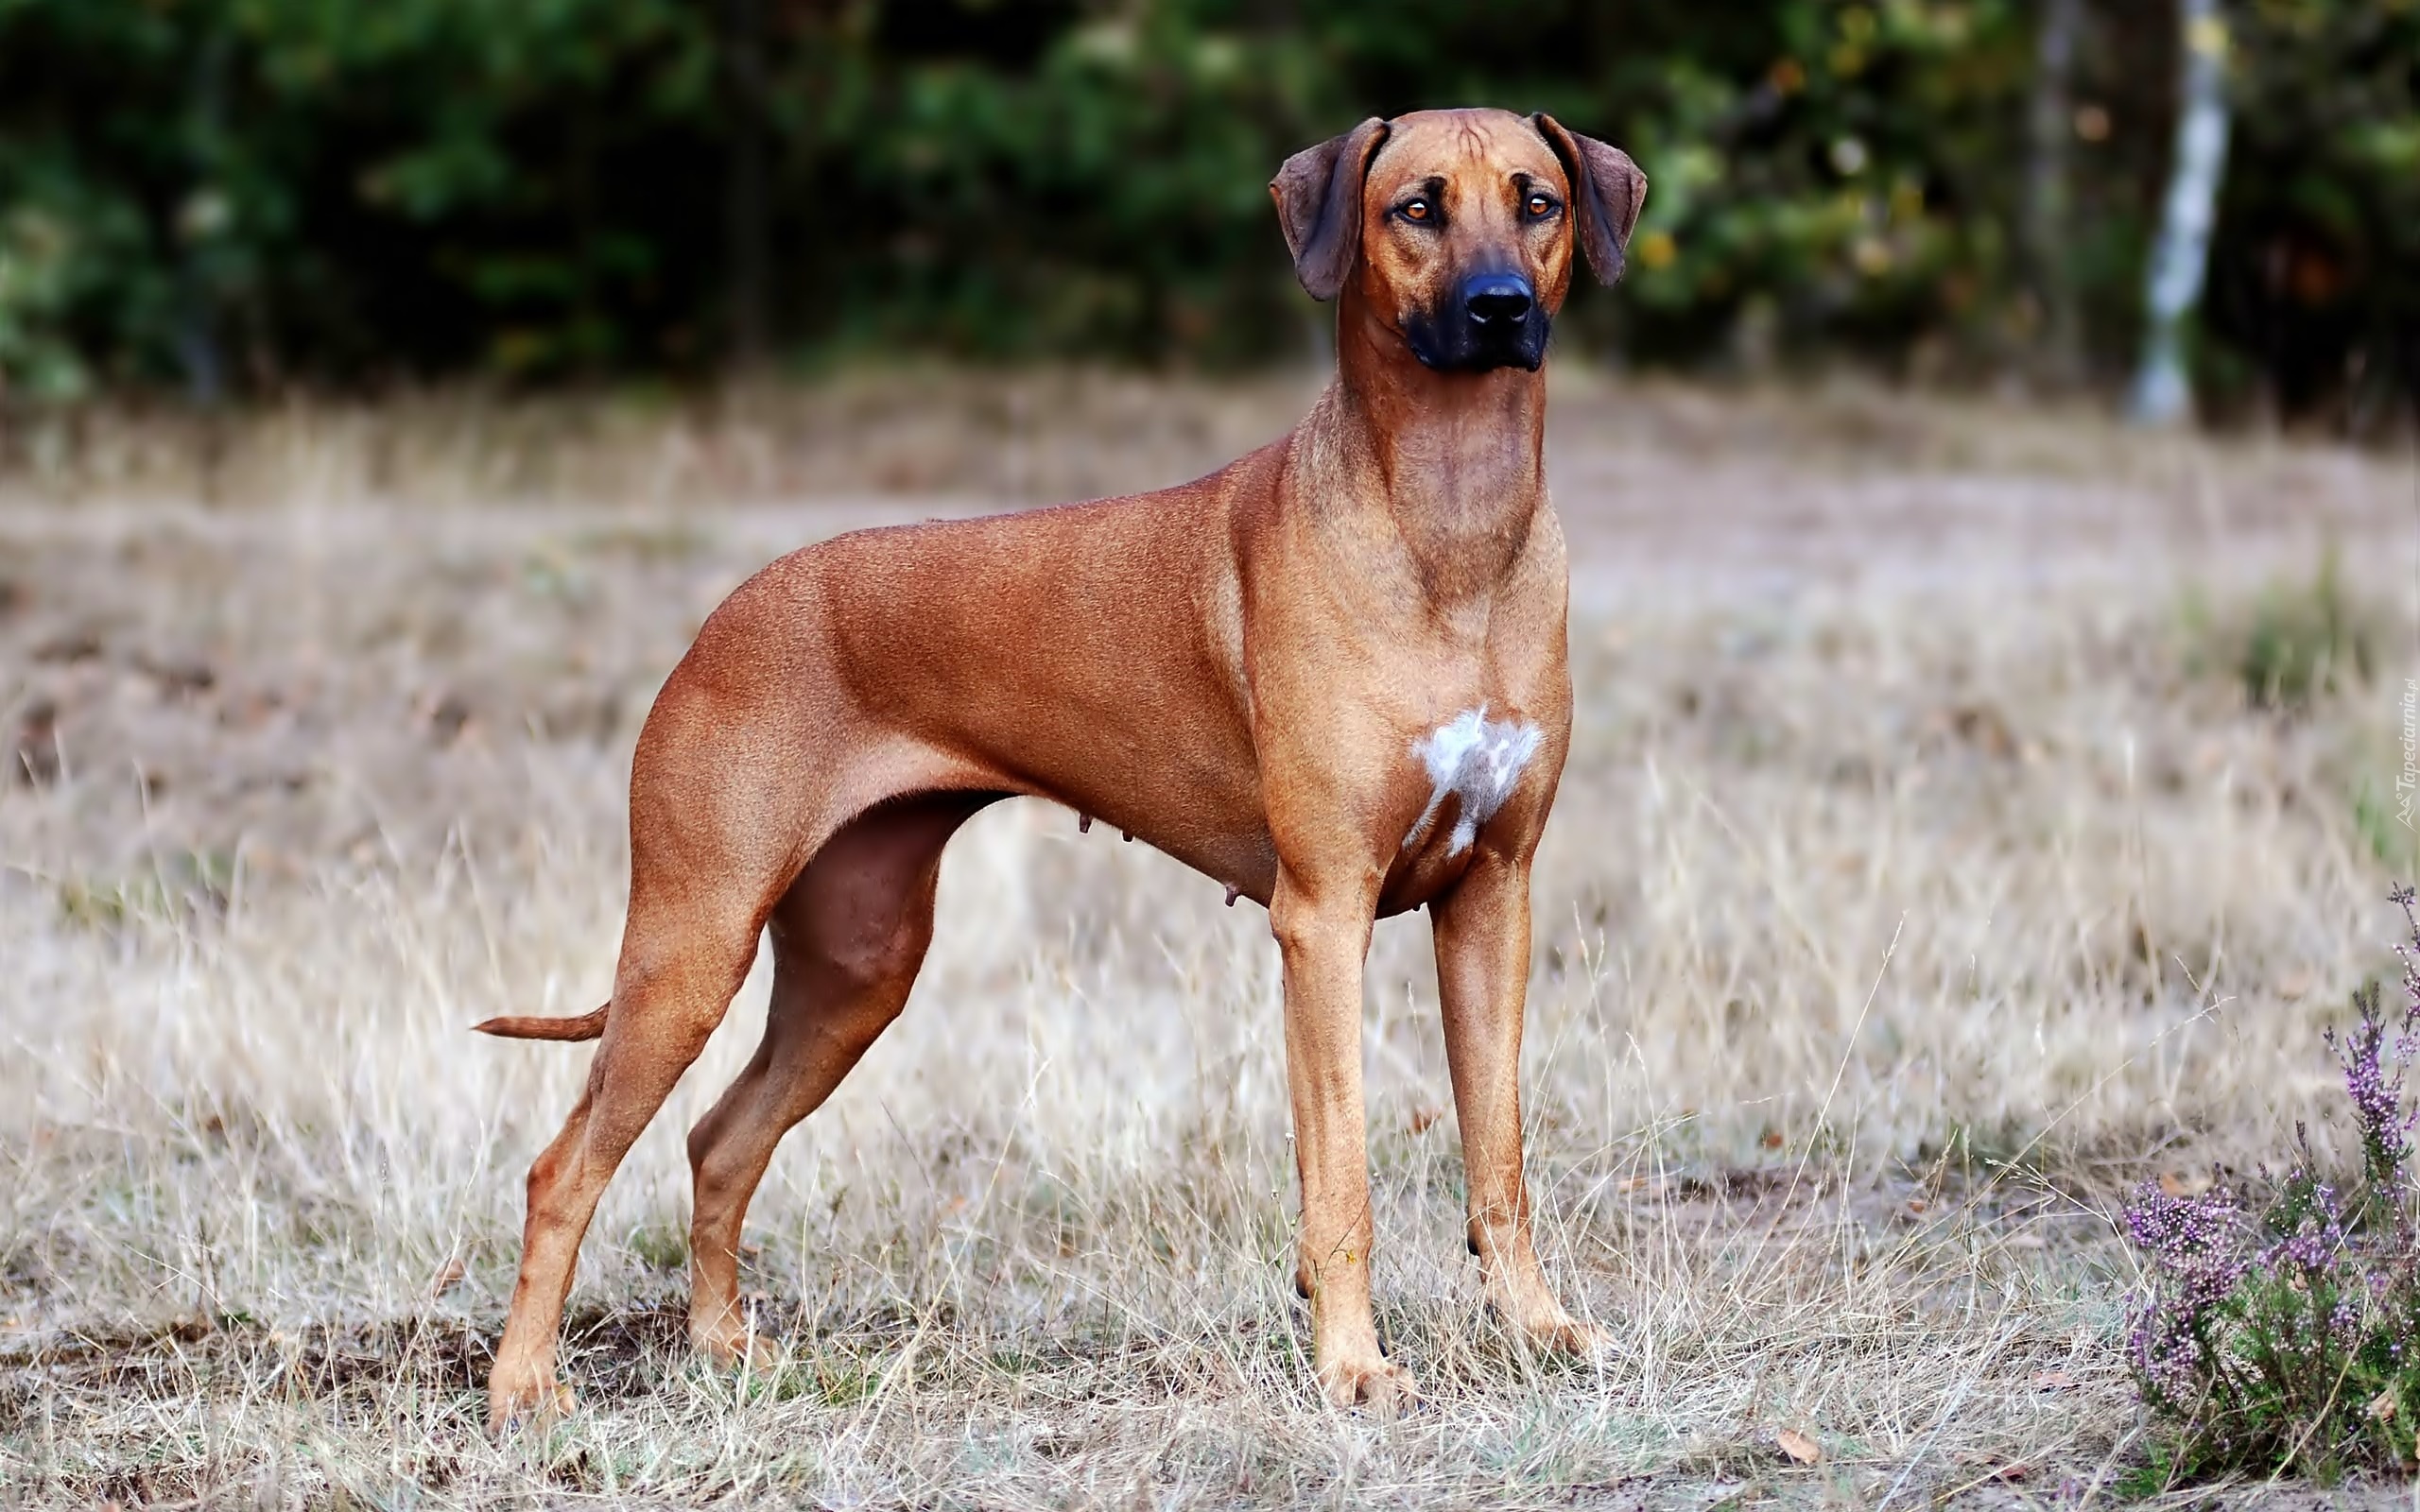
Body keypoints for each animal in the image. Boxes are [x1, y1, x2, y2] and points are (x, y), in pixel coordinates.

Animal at [472, 106, 1645, 1422]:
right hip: (693, 941)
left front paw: (1538, 1330)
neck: (1448, 524)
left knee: (719, 1138)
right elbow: (1340, 1174)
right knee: (562, 1167)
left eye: (1537, 201)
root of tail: (724, 616)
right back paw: (523, 1389)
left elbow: (1500, 1156)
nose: (1500, 308)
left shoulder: (1493, 900)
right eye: (1417, 207)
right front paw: (1353, 1365)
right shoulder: (1322, 915)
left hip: (858, 965)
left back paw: (726, 1347)